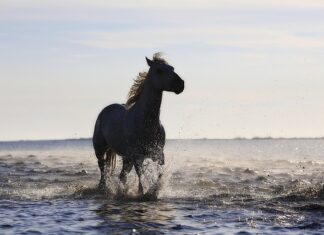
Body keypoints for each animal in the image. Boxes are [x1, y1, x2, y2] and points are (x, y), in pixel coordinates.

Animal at [93, 53, 185, 195]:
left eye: (172, 68)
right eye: (159, 70)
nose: (181, 84)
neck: (146, 122)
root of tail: (105, 110)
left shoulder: (159, 154)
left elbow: (159, 175)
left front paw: (154, 190)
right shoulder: (138, 156)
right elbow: (141, 177)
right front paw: (142, 193)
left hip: (126, 157)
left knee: (122, 175)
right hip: (100, 150)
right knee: (103, 171)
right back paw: (104, 188)